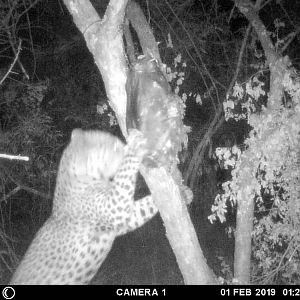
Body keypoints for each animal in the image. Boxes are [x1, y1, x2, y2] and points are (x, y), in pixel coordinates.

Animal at [10, 128, 158, 284]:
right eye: (115, 146)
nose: (123, 145)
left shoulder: (123, 220)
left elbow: (145, 206)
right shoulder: (115, 208)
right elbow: (125, 172)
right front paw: (135, 145)